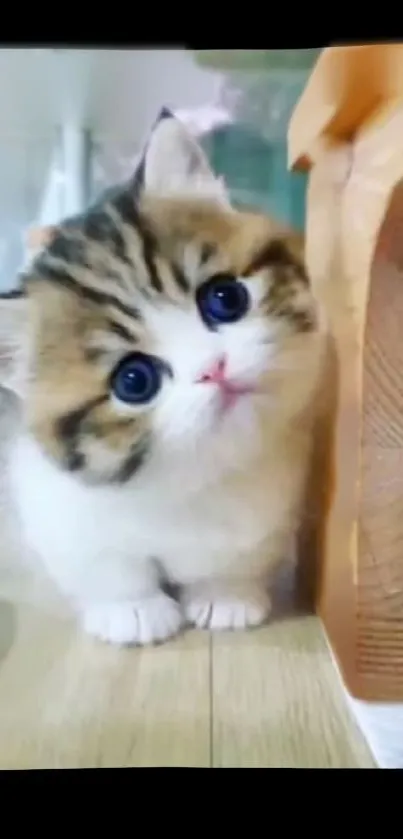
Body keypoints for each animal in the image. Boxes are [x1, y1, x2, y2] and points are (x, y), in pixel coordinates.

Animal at [0, 111, 326, 648]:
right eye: (135, 380)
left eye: (225, 298)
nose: (215, 368)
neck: (199, 477)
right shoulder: (49, 502)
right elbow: (103, 562)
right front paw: (132, 609)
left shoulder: (276, 503)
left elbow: (242, 552)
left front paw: (226, 594)